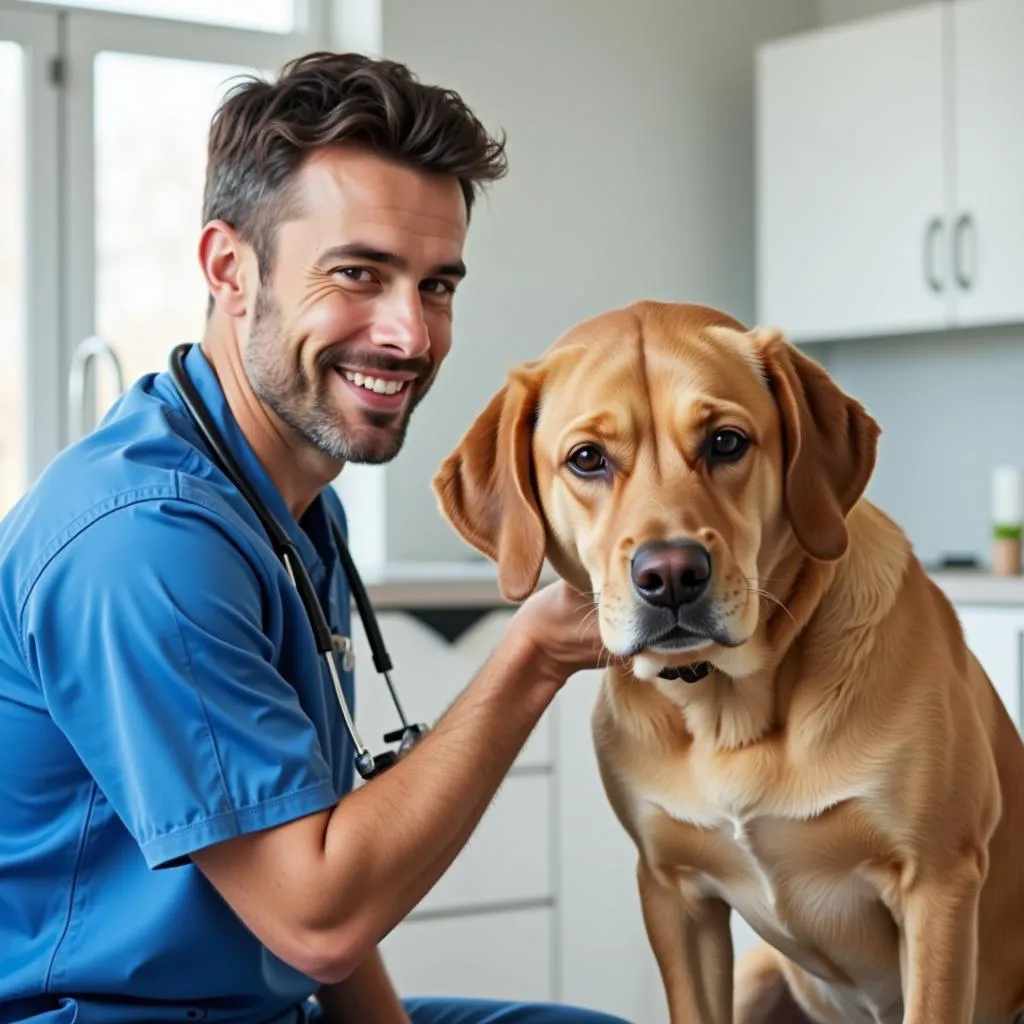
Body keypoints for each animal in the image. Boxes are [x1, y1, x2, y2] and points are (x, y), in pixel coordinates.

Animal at [428, 301, 1024, 1024]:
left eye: (726, 442)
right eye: (587, 458)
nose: (671, 575)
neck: (726, 706)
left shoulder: (937, 885)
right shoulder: (673, 893)